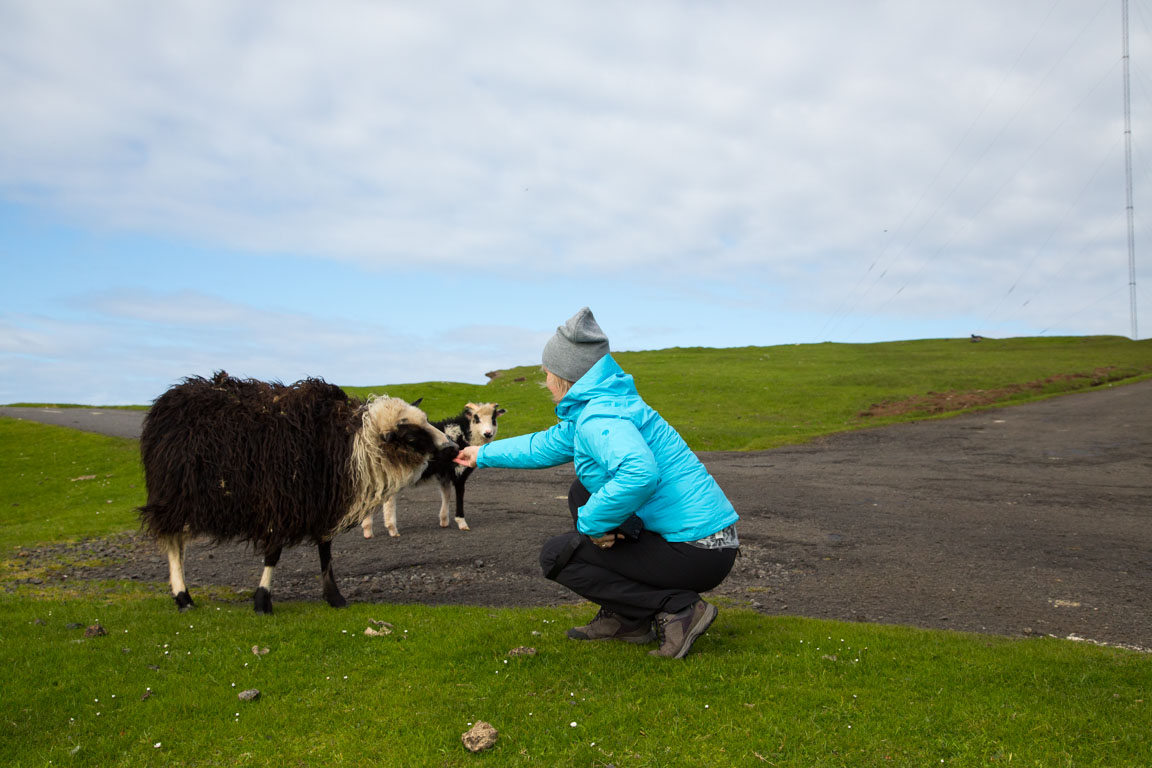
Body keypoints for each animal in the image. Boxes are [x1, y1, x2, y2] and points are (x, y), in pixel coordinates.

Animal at [137, 368, 456, 617]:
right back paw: (183, 597)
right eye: (411, 436)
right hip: (174, 494)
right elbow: (274, 553)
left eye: (426, 420)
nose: (452, 448)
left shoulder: (323, 502)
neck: (354, 445)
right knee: (173, 544)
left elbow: (326, 550)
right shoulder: (279, 501)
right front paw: (262, 601)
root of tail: (171, 396)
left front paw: (334, 597)